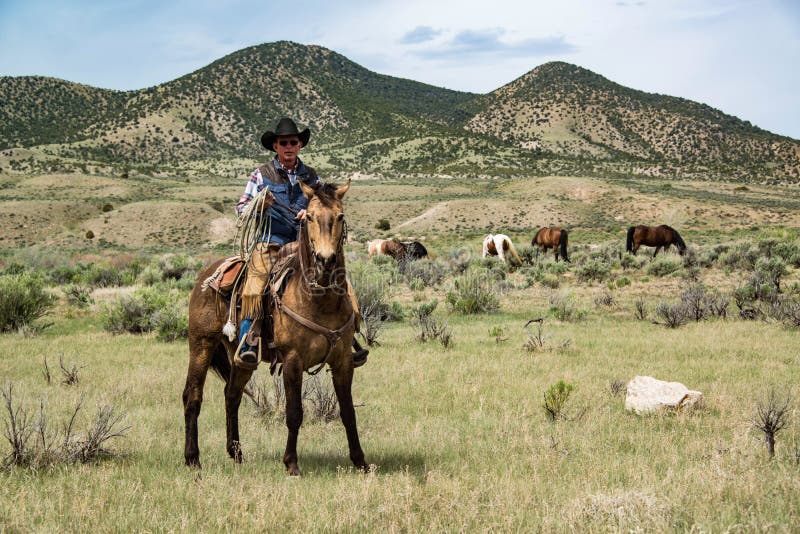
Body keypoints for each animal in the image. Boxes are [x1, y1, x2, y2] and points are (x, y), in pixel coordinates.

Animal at [181, 181, 366, 478]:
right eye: (309, 217)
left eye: (340, 216)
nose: (325, 259)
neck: (318, 299)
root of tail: (206, 275)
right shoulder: (292, 360)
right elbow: (294, 413)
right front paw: (291, 463)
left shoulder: (343, 361)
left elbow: (348, 412)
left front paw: (360, 462)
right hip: (201, 344)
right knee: (193, 395)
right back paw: (192, 458)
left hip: (240, 357)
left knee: (232, 394)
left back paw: (236, 453)